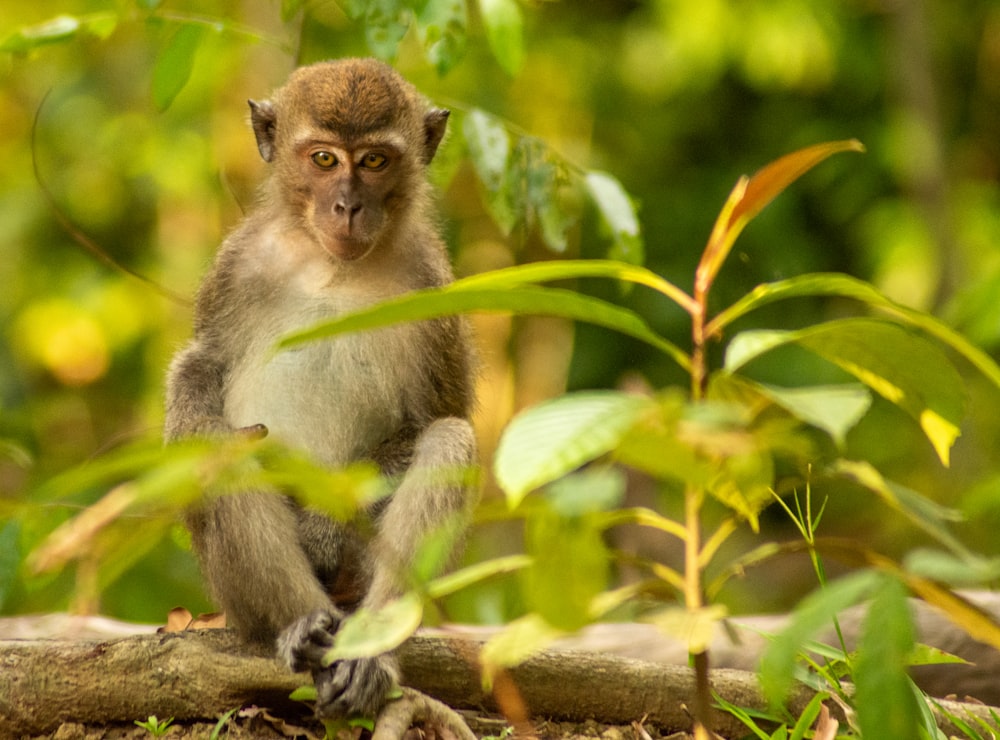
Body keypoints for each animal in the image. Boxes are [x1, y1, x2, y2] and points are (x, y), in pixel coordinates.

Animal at [164, 60, 476, 720]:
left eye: (376, 161)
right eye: (325, 159)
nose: (347, 206)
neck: (334, 264)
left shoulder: (433, 287)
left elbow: (437, 414)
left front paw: (324, 529)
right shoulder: (237, 263)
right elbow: (200, 370)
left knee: (450, 440)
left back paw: (368, 653)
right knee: (214, 439)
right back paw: (300, 627)